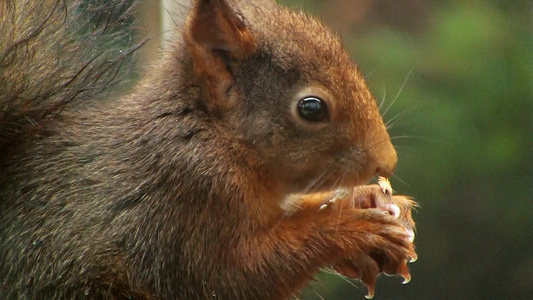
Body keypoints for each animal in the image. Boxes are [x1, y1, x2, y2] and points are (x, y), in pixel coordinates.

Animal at [0, 0, 416, 298]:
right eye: (311, 108)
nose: (388, 163)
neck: (214, 136)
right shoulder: (185, 199)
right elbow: (238, 275)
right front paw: (355, 227)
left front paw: (366, 200)